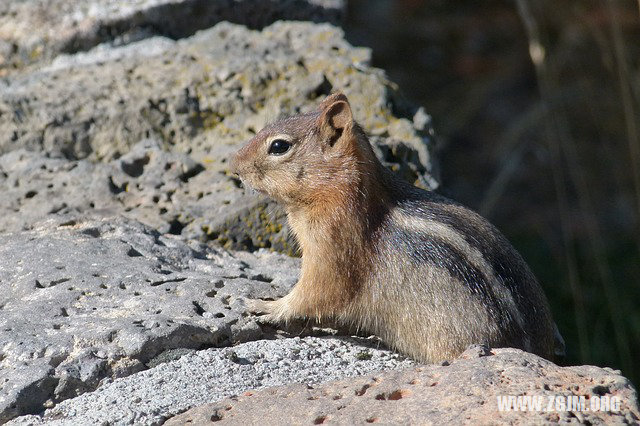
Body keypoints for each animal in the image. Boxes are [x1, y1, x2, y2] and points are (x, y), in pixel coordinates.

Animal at [231, 92, 564, 362]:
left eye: (279, 146)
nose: (234, 166)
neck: (338, 189)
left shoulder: (331, 250)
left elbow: (314, 294)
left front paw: (264, 305)